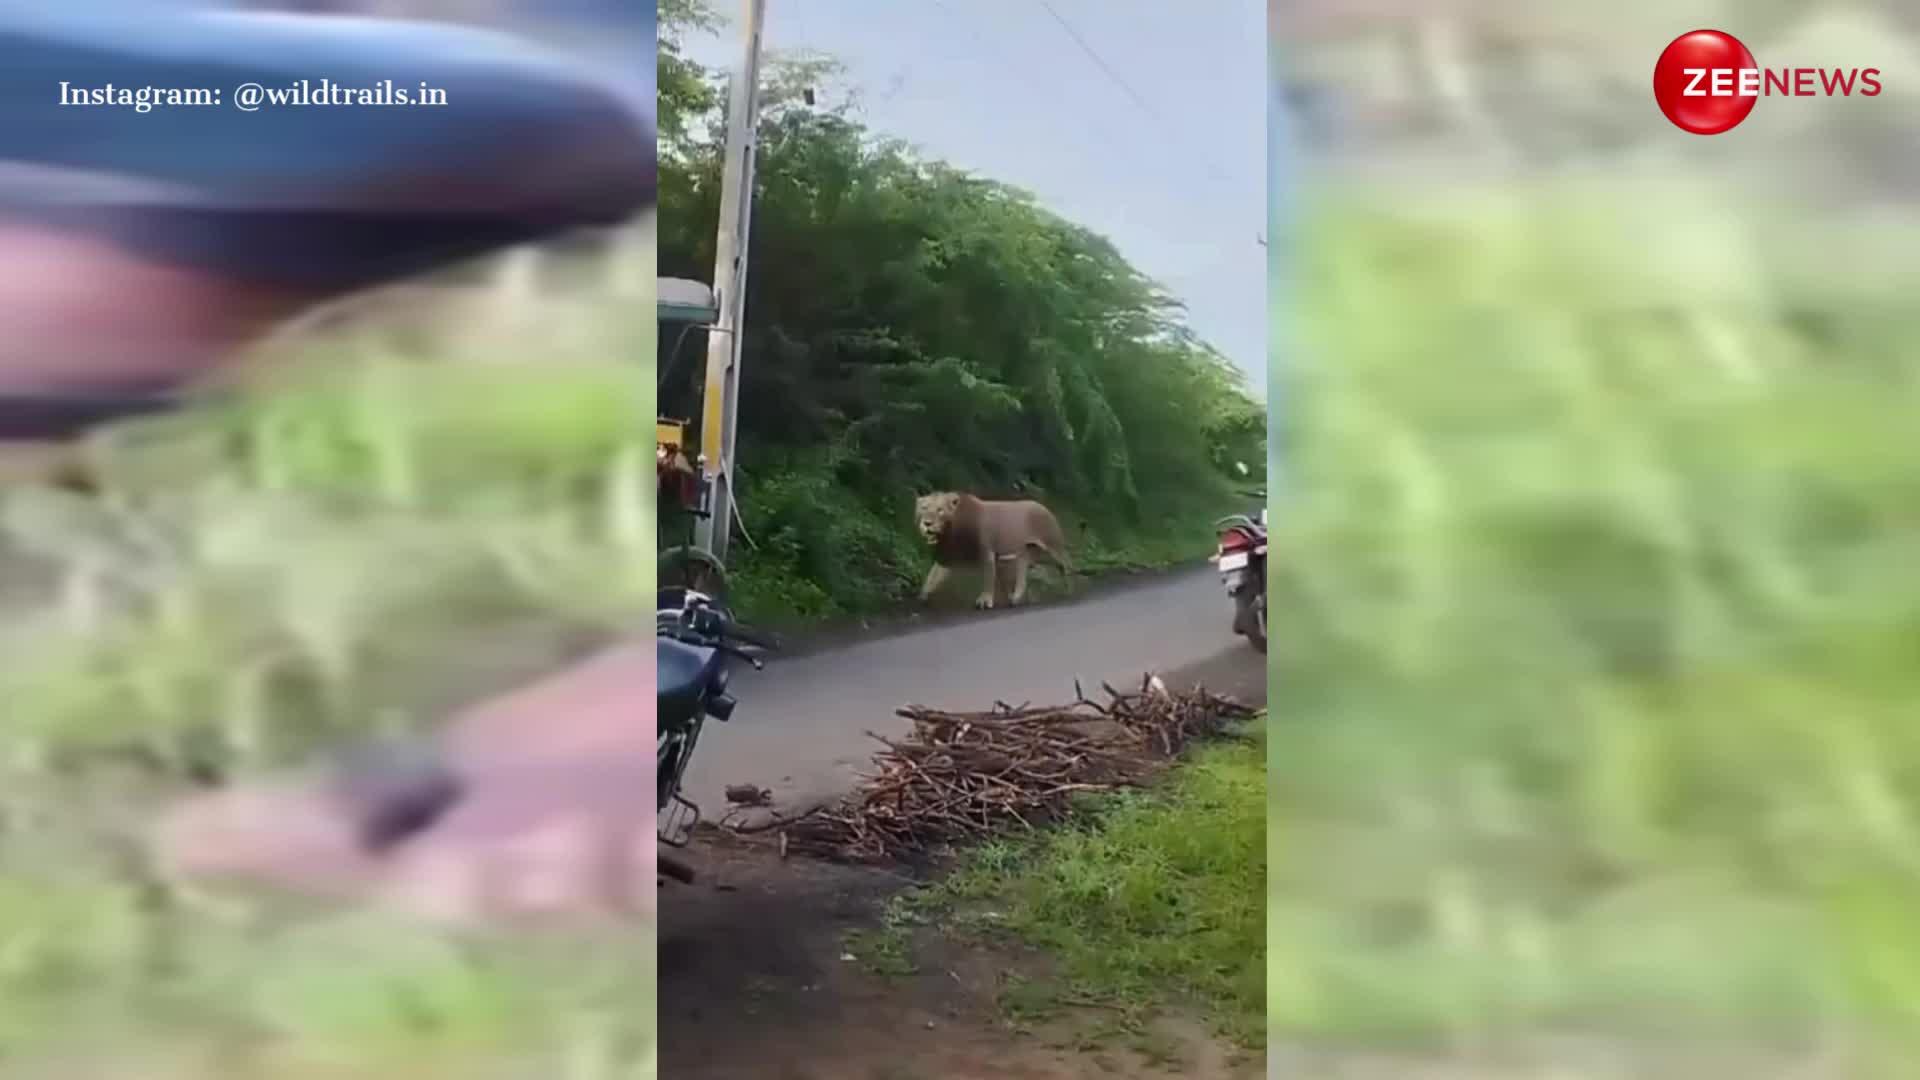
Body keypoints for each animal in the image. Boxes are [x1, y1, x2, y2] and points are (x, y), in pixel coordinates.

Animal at [910, 491, 1075, 611]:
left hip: (1051, 548)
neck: (950, 532)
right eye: (924, 508)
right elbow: (932, 577)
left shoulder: (987, 554)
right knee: (1026, 576)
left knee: (1066, 564)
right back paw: (1015, 599)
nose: (927, 524)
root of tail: (1044, 507)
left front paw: (985, 601)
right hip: (1026, 553)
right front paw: (922, 597)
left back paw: (1070, 590)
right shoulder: (947, 558)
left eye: (940, 510)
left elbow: (988, 579)